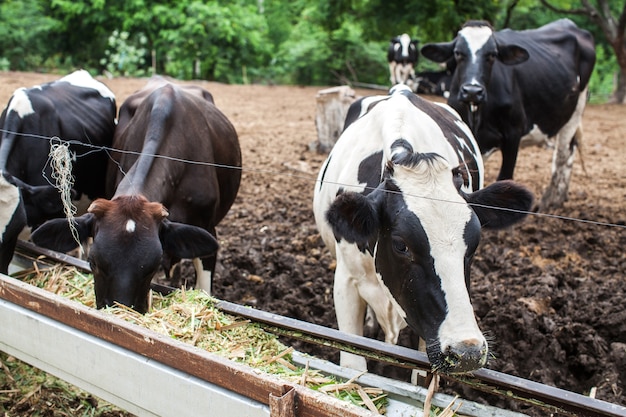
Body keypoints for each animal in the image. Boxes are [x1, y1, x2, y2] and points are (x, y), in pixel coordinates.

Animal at [420, 19, 596, 208]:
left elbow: (505, 179)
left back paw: (549, 201)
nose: (472, 91)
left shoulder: (513, 134)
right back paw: (559, 197)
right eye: (458, 53)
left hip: (575, 112)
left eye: (492, 55)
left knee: (562, 154)